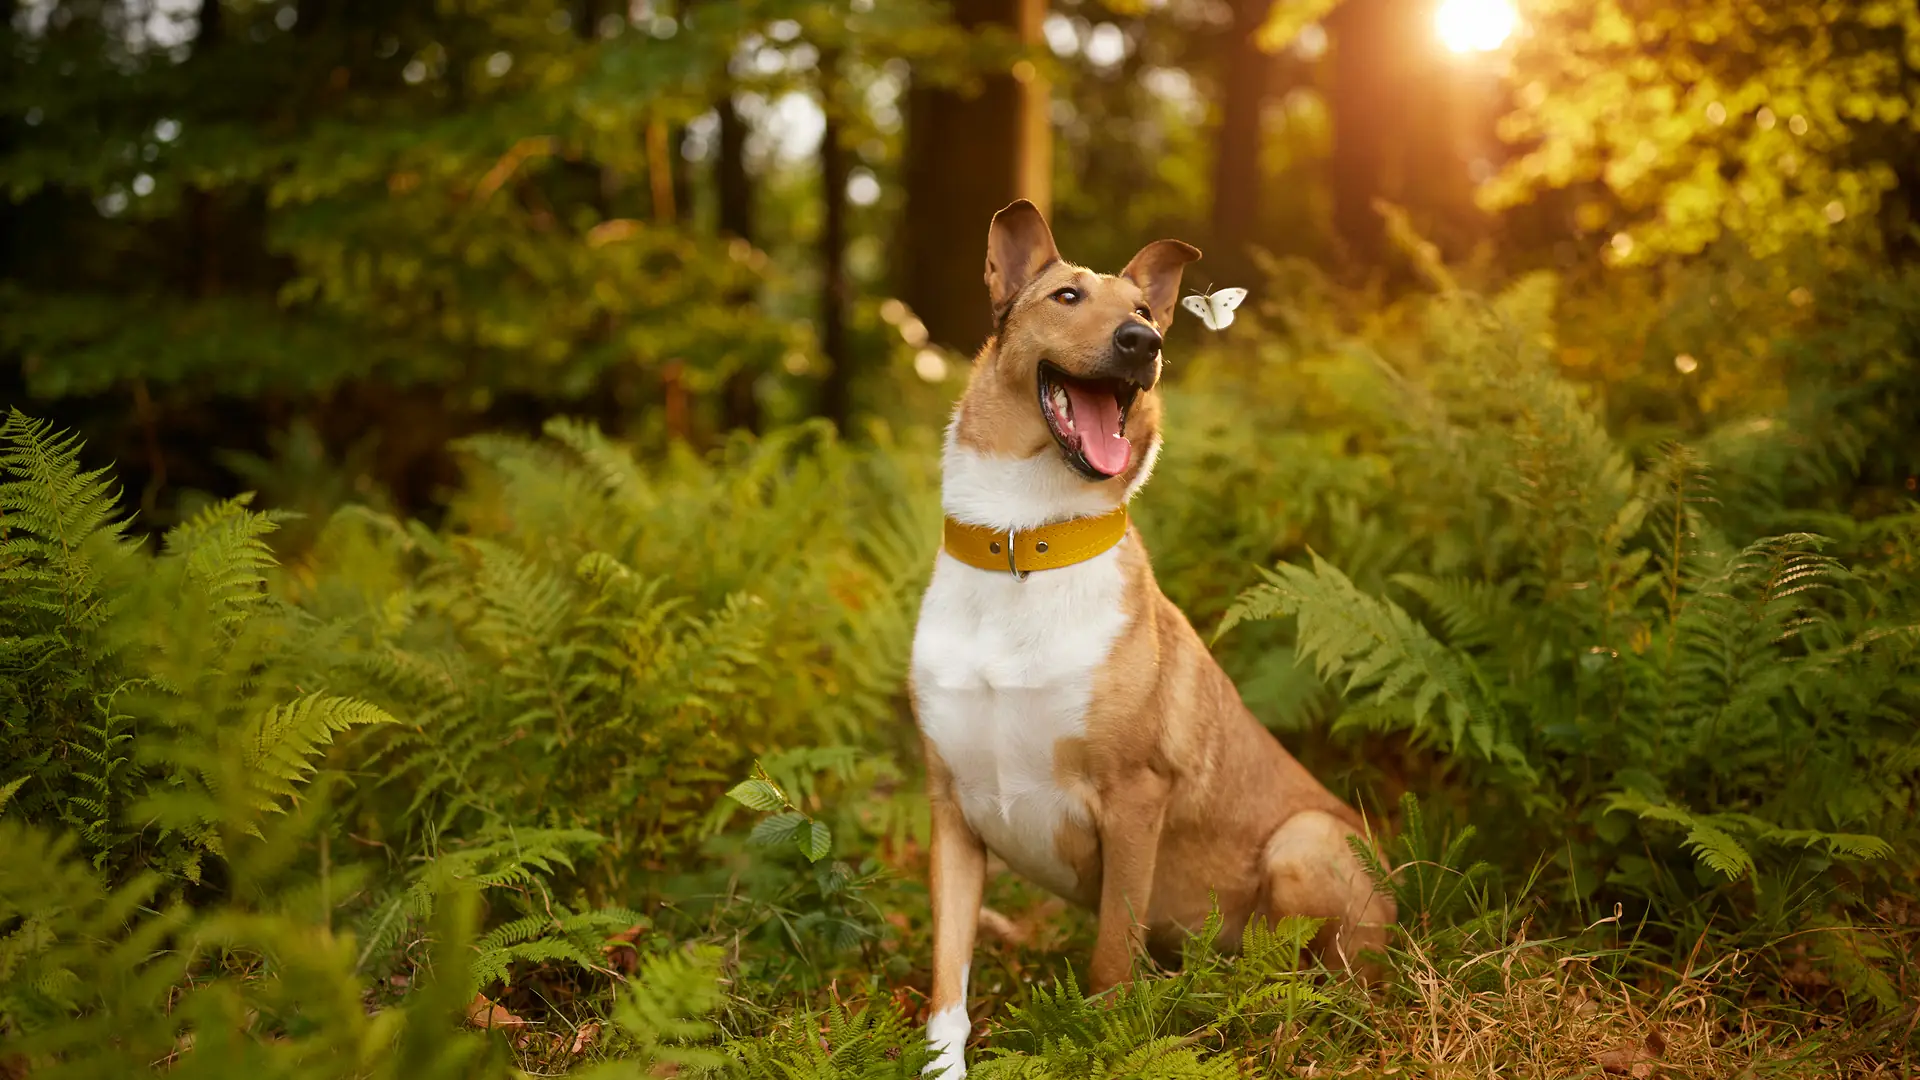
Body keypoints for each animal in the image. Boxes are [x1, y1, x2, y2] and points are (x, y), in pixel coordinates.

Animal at [906, 199, 1390, 1068]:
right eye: (1065, 297)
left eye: (1142, 311)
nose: (1144, 343)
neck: (1023, 543)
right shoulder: (952, 813)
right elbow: (947, 988)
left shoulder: (1134, 798)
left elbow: (1108, 961)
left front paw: (1100, 1046)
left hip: (1305, 844)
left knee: (1315, 982)